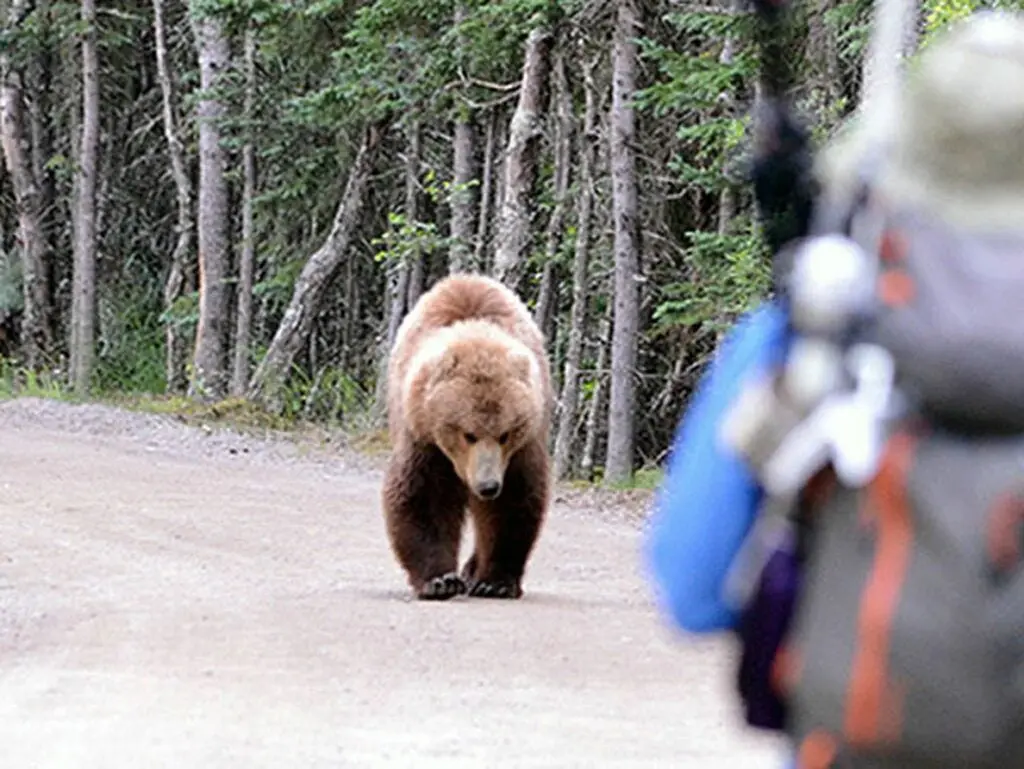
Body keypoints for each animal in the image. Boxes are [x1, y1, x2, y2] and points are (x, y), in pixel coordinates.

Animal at [380, 274, 552, 606]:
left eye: (505, 433)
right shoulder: (424, 437)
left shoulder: (520, 450)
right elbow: (424, 496)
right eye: (468, 434)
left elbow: (512, 502)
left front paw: (494, 582)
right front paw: (440, 580)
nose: (488, 486)